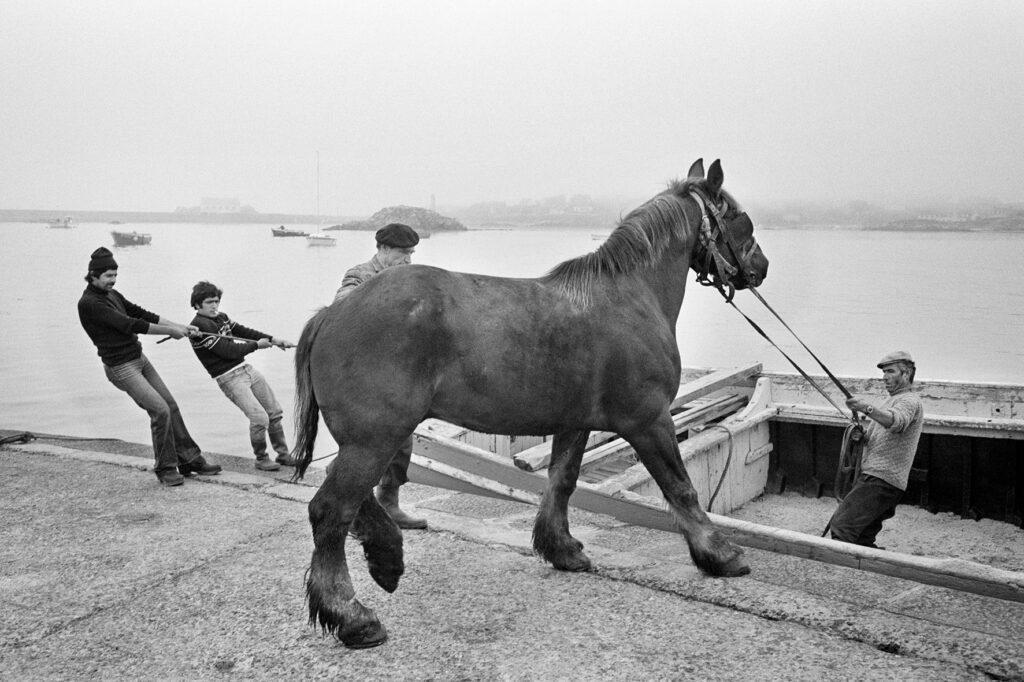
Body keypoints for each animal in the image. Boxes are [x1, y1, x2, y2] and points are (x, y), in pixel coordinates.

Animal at [292, 156, 765, 647]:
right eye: (740, 218)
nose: (760, 266)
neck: (633, 296)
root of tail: (332, 313)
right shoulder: (649, 420)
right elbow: (681, 487)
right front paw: (719, 554)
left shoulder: (575, 421)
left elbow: (562, 481)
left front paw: (562, 549)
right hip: (375, 437)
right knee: (331, 509)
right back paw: (351, 614)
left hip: (370, 437)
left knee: (348, 497)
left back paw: (386, 556)